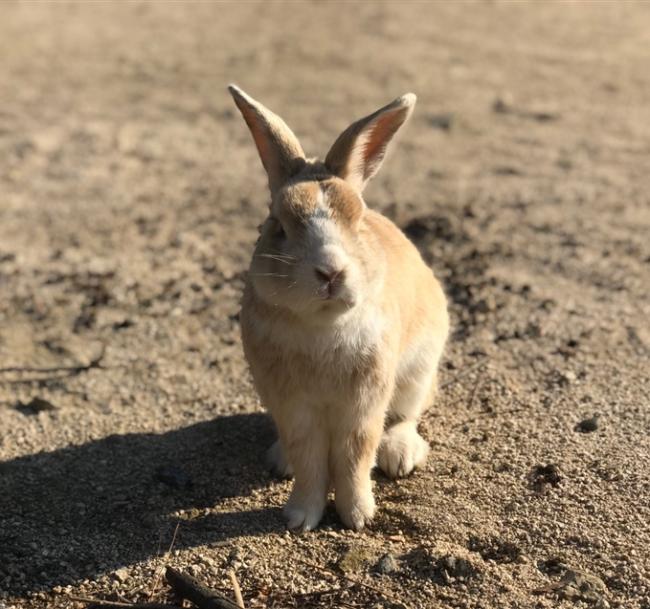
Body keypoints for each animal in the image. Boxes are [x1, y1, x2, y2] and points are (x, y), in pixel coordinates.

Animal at [227, 83, 446, 528]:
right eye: (277, 225)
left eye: (358, 220)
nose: (330, 272)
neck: (322, 325)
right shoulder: (292, 404)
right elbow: (309, 458)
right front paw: (300, 518)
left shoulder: (364, 403)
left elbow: (355, 456)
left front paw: (358, 517)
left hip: (418, 371)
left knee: (406, 416)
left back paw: (400, 456)